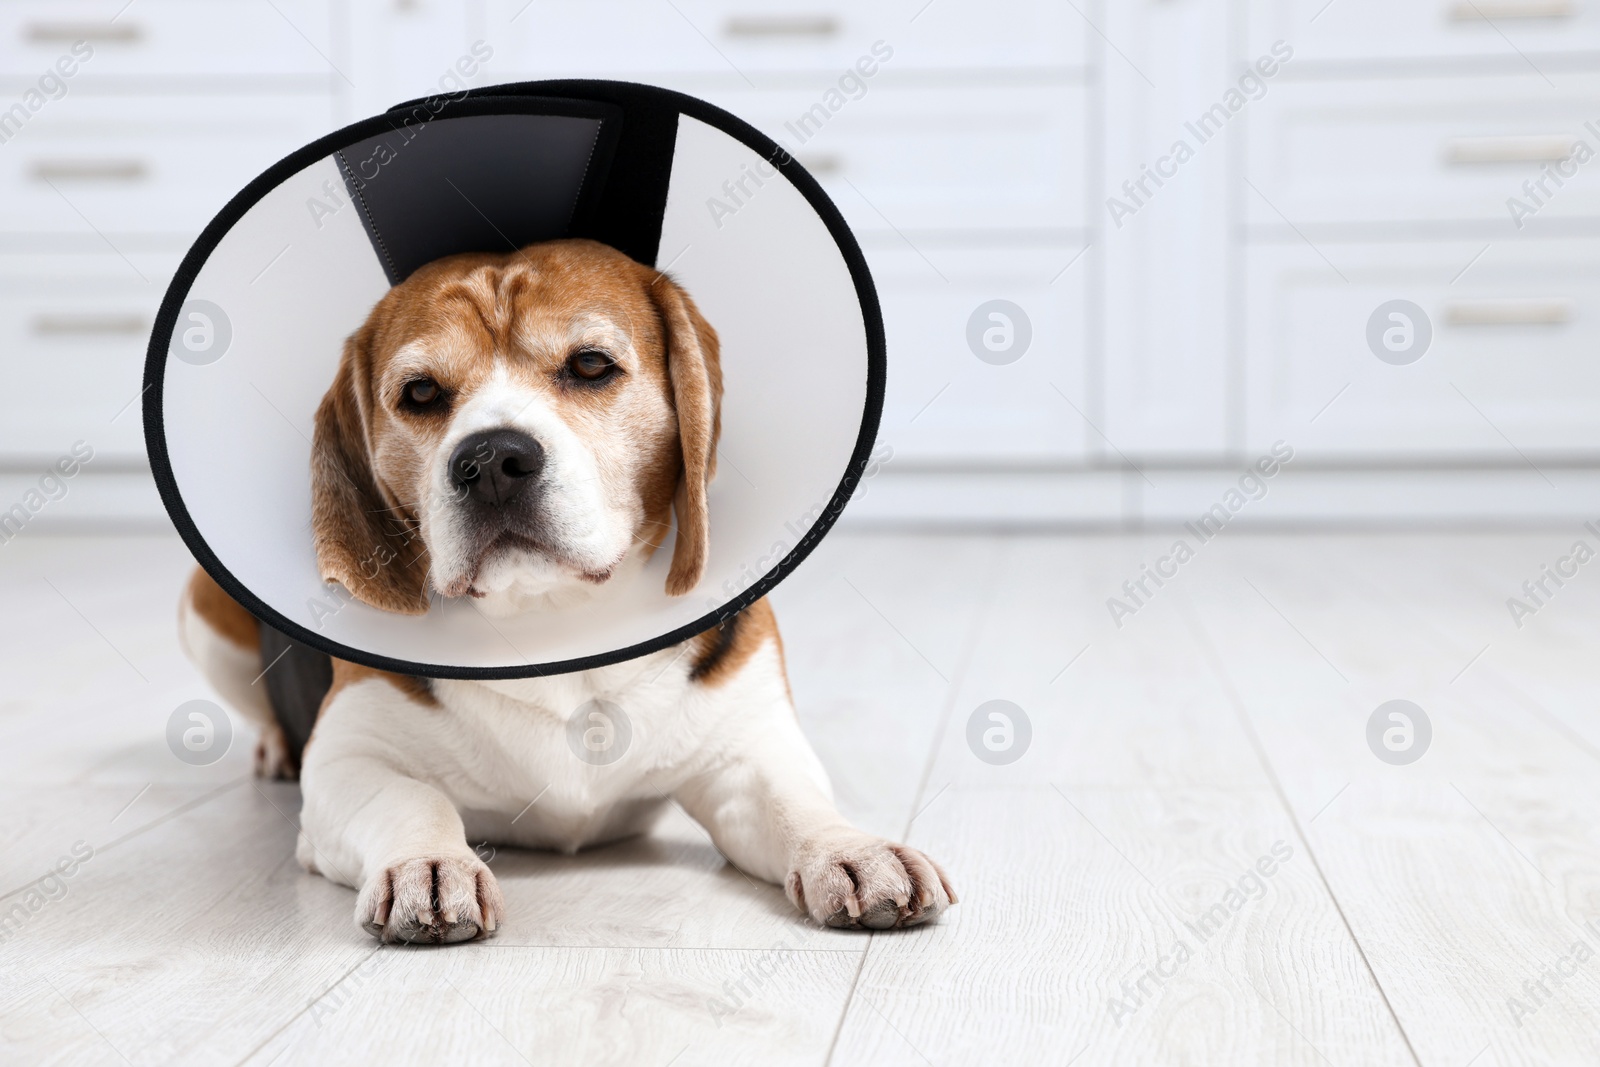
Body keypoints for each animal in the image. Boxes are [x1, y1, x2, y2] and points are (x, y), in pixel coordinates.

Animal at [178, 239, 947, 940]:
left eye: (590, 365)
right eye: (421, 393)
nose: (491, 459)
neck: (555, 623)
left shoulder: (751, 750)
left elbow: (797, 802)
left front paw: (853, 851)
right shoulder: (349, 758)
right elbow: (411, 798)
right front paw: (429, 863)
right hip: (203, 608)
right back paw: (276, 748)